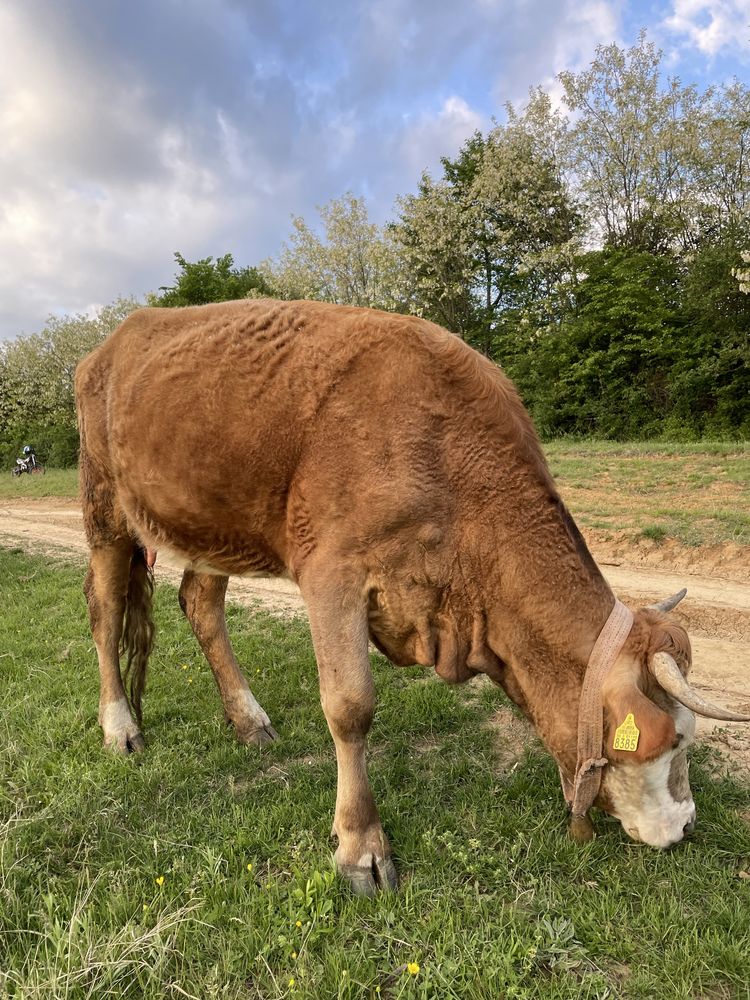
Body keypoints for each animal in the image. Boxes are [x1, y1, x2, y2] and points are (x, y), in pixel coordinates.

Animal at [76, 298, 750, 900]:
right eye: (676, 739)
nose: (687, 826)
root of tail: (117, 337)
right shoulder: (332, 570)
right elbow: (350, 707)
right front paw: (361, 848)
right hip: (104, 503)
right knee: (106, 614)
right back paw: (120, 727)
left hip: (213, 523)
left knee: (200, 603)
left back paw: (248, 719)